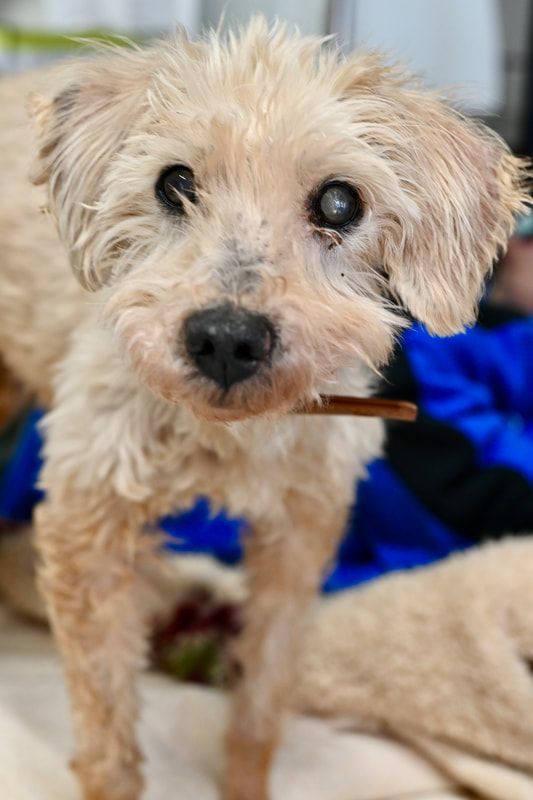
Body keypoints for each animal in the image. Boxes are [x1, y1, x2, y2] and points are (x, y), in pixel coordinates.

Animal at [0, 17, 524, 800]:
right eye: (175, 183)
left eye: (339, 202)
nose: (224, 338)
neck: (228, 437)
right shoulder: (89, 524)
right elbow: (106, 722)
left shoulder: (301, 532)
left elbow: (265, 689)